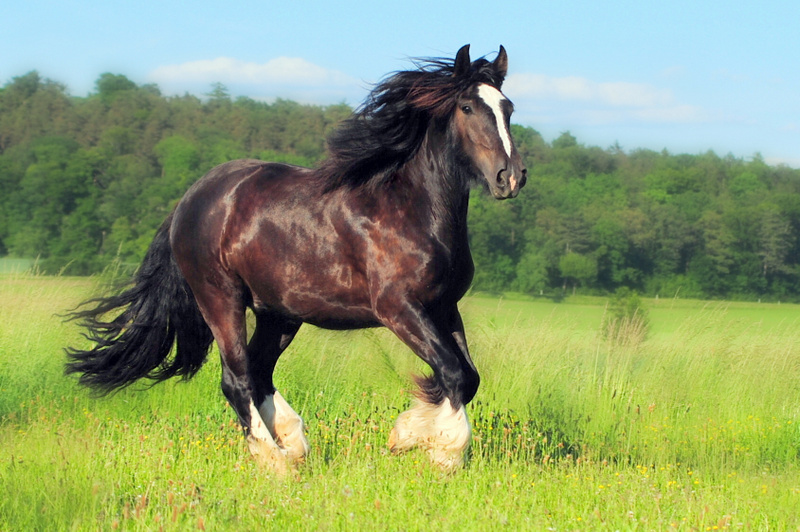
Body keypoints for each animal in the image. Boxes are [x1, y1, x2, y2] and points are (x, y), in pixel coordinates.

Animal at [67, 43, 524, 472]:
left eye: (508, 108)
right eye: (467, 107)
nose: (511, 176)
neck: (409, 209)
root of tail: (190, 200)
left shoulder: (444, 306)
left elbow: (467, 377)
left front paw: (413, 435)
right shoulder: (399, 308)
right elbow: (453, 372)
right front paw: (437, 450)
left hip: (279, 313)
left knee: (258, 372)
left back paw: (293, 444)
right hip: (220, 298)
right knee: (236, 378)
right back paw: (276, 462)